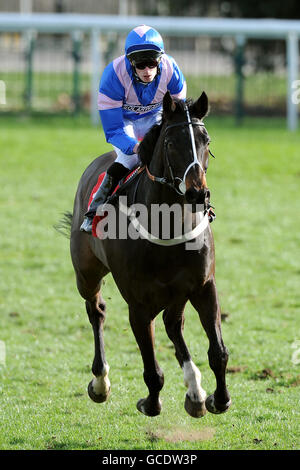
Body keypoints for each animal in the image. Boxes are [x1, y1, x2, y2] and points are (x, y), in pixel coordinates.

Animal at [69, 92, 231, 418]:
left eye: (206, 139)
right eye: (170, 143)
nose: (198, 194)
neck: (167, 223)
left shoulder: (203, 286)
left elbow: (218, 352)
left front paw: (218, 399)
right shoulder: (139, 305)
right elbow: (152, 370)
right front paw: (151, 403)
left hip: (177, 292)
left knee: (173, 323)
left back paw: (195, 391)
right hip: (86, 274)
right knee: (96, 311)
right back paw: (100, 383)